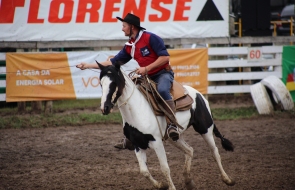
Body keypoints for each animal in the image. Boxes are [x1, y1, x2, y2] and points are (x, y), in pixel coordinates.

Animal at [97, 61, 236, 189]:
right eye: (101, 83)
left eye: (114, 83)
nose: (105, 108)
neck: (137, 109)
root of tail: (199, 94)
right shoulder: (137, 144)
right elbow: (144, 171)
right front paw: (160, 185)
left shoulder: (157, 142)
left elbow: (164, 168)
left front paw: (170, 187)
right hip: (175, 137)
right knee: (189, 150)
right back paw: (188, 181)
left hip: (205, 128)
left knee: (214, 152)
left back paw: (228, 179)